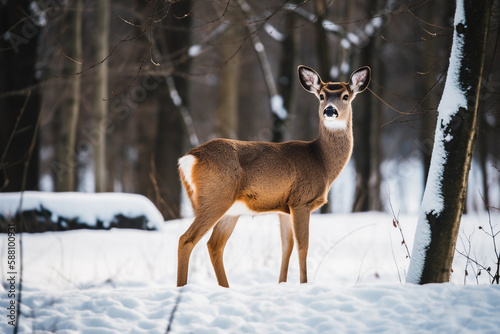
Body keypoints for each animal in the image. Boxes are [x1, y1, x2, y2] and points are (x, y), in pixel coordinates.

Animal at [178, 64, 370, 288]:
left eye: (346, 96)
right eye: (322, 96)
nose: (329, 110)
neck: (321, 161)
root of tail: (187, 159)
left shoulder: (284, 208)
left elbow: (287, 247)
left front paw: (282, 284)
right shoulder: (301, 201)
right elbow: (303, 246)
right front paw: (304, 284)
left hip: (230, 210)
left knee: (214, 245)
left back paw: (225, 288)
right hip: (215, 197)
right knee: (186, 239)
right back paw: (182, 287)